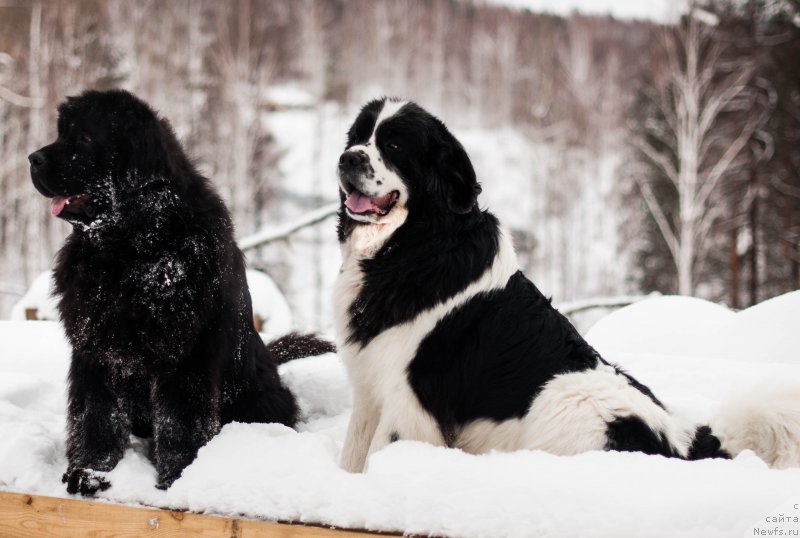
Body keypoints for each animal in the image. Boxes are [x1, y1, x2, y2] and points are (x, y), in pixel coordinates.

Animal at [28, 89, 334, 494]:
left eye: (85, 139)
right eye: (61, 133)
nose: (32, 158)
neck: (131, 250)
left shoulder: (186, 354)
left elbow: (179, 422)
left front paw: (177, 478)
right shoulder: (96, 351)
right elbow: (96, 417)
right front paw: (91, 472)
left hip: (260, 397)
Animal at [334, 98, 800, 472]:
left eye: (394, 146)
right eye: (357, 136)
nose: (348, 158)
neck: (413, 246)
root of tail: (682, 445)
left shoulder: (408, 399)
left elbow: (376, 452)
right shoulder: (369, 384)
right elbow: (353, 451)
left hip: (559, 400)